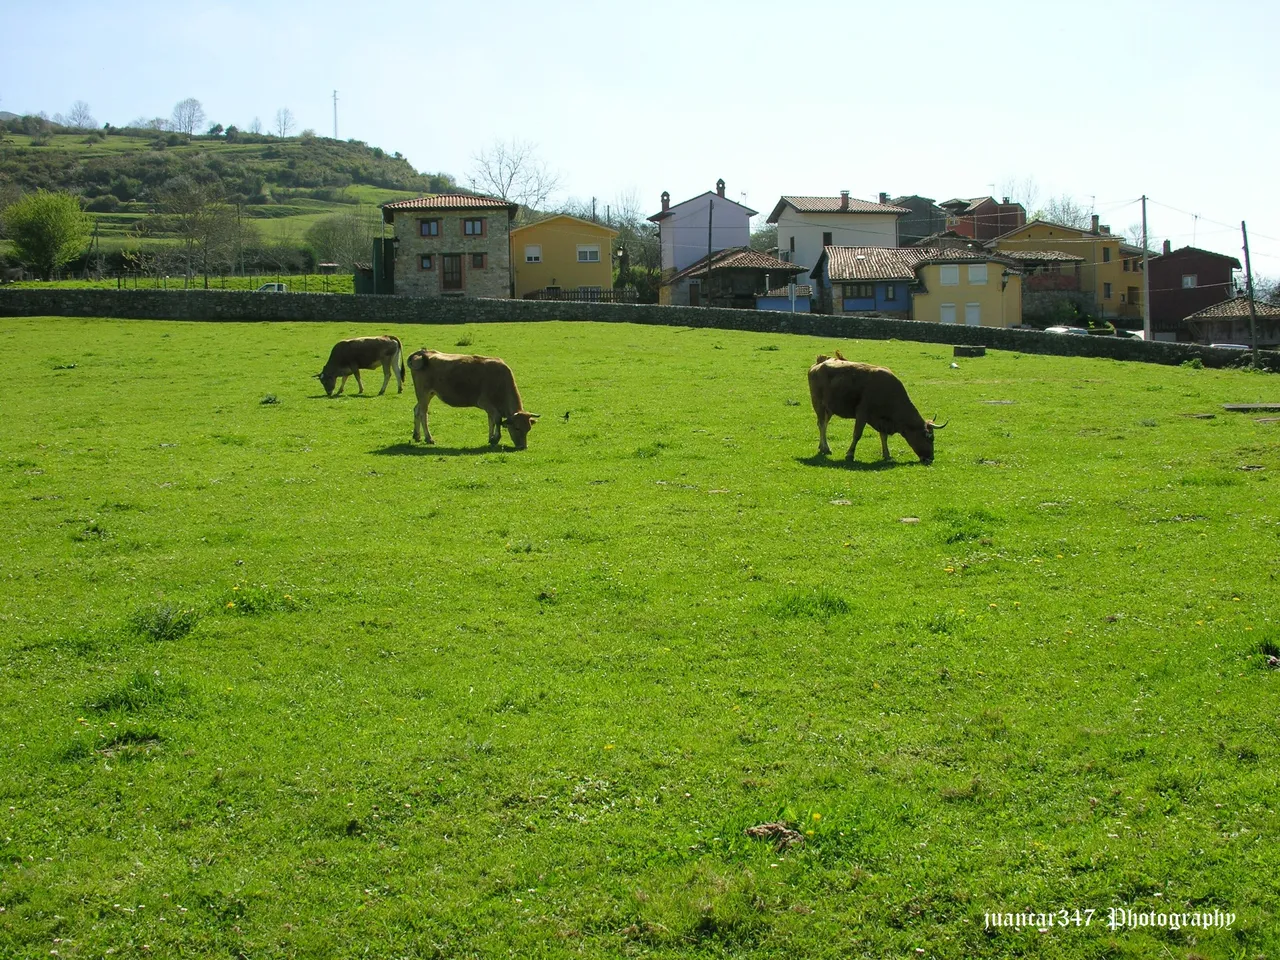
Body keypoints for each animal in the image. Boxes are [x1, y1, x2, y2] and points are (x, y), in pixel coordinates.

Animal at [409, 350, 540, 450]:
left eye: (528, 429)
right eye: (517, 428)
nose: (523, 447)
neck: (500, 381)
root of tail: (423, 352)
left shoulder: (491, 408)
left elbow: (491, 421)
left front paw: (490, 438)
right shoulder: (485, 403)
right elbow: (497, 419)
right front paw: (495, 439)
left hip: (428, 395)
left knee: (416, 410)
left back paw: (417, 436)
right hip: (424, 393)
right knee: (423, 413)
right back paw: (429, 438)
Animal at [803, 355, 947, 468]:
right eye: (929, 437)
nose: (930, 458)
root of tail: (818, 363)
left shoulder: (882, 420)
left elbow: (883, 436)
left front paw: (887, 454)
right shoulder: (862, 414)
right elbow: (857, 434)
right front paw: (850, 454)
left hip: (829, 409)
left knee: (823, 424)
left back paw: (822, 447)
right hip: (819, 405)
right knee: (822, 425)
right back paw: (826, 448)